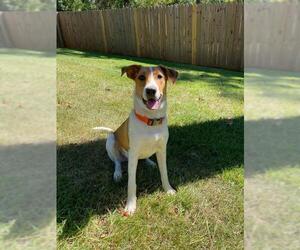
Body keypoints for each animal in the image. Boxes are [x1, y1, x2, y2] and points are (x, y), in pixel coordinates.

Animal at [94, 64, 178, 215]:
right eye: (141, 77)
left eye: (160, 77)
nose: (150, 90)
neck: (151, 121)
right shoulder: (133, 155)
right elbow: (131, 183)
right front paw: (131, 205)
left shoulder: (162, 150)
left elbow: (164, 172)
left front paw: (168, 189)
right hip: (111, 139)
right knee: (117, 161)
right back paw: (117, 173)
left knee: (144, 158)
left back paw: (150, 162)